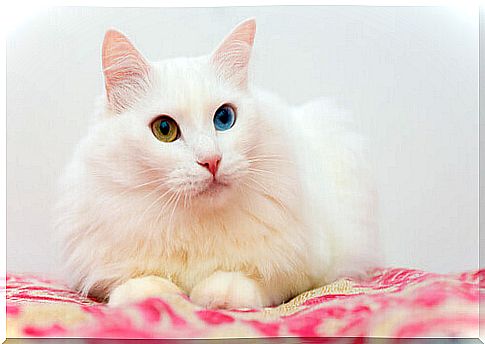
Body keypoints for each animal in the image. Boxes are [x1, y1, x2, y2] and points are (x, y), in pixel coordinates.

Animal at [56, 18, 380, 310]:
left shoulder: (305, 266)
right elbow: (133, 283)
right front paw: (154, 295)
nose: (211, 161)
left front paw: (221, 294)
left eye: (224, 118)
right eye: (164, 129)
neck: (196, 224)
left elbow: (256, 281)